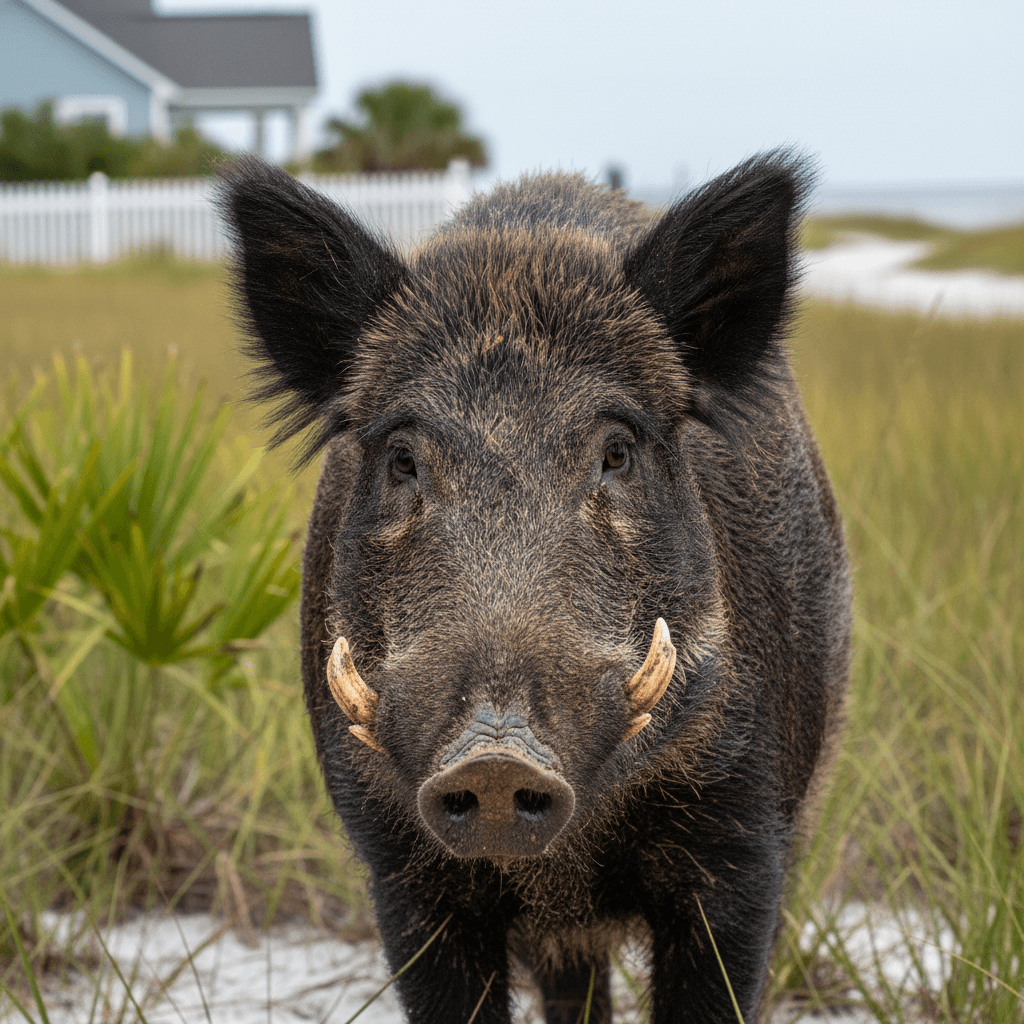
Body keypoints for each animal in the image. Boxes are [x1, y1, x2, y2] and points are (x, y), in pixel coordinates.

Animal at [218, 150, 851, 1024]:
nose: (493, 758)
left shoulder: (743, 838)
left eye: (616, 452)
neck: (567, 860)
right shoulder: (401, 867)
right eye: (402, 459)